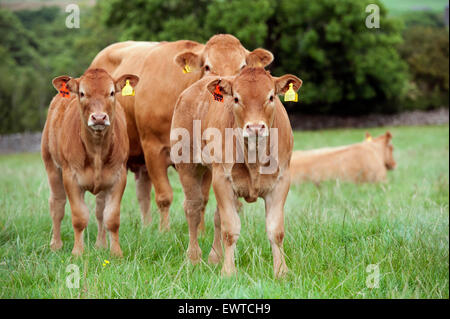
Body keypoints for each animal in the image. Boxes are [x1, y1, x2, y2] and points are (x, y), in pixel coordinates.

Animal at [41, 68, 139, 258]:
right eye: (82, 93)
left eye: (111, 92)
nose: (99, 118)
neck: (97, 152)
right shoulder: (70, 177)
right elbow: (79, 217)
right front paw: (78, 252)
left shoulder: (118, 177)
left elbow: (111, 217)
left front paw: (116, 252)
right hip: (52, 166)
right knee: (57, 205)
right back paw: (56, 245)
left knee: (100, 210)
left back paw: (101, 245)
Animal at [89, 33, 272, 231]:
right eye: (207, 66)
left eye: (243, 66)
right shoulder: (153, 148)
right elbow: (164, 196)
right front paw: (164, 232)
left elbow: (202, 198)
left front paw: (201, 232)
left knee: (142, 192)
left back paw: (146, 226)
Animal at [171, 68, 304, 278]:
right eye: (236, 98)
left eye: (271, 97)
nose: (255, 127)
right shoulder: (222, 179)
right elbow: (230, 229)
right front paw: (228, 271)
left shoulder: (281, 181)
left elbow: (276, 230)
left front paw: (281, 271)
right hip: (188, 166)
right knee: (193, 209)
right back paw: (193, 258)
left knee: (216, 216)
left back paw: (215, 257)